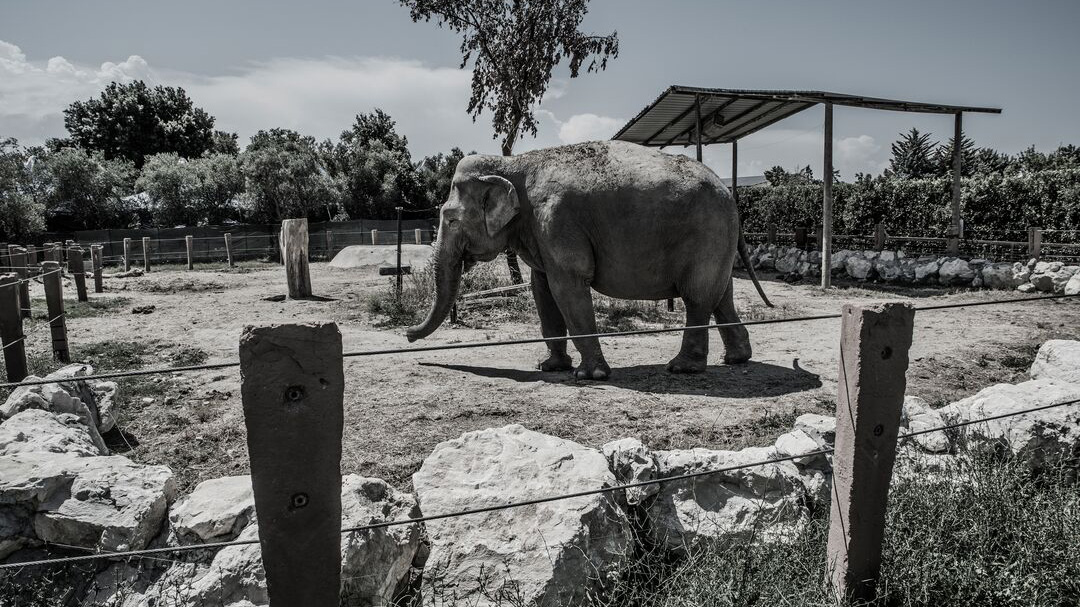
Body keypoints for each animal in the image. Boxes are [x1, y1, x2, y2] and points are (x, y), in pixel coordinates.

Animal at [406, 141, 777, 378]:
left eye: (451, 219)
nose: (408, 335)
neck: (513, 164)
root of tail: (730, 194)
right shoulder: (540, 232)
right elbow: (543, 290)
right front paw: (549, 367)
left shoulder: (557, 221)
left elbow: (568, 287)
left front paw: (590, 375)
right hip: (717, 240)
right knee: (721, 295)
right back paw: (736, 359)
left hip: (707, 233)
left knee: (698, 297)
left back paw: (681, 368)